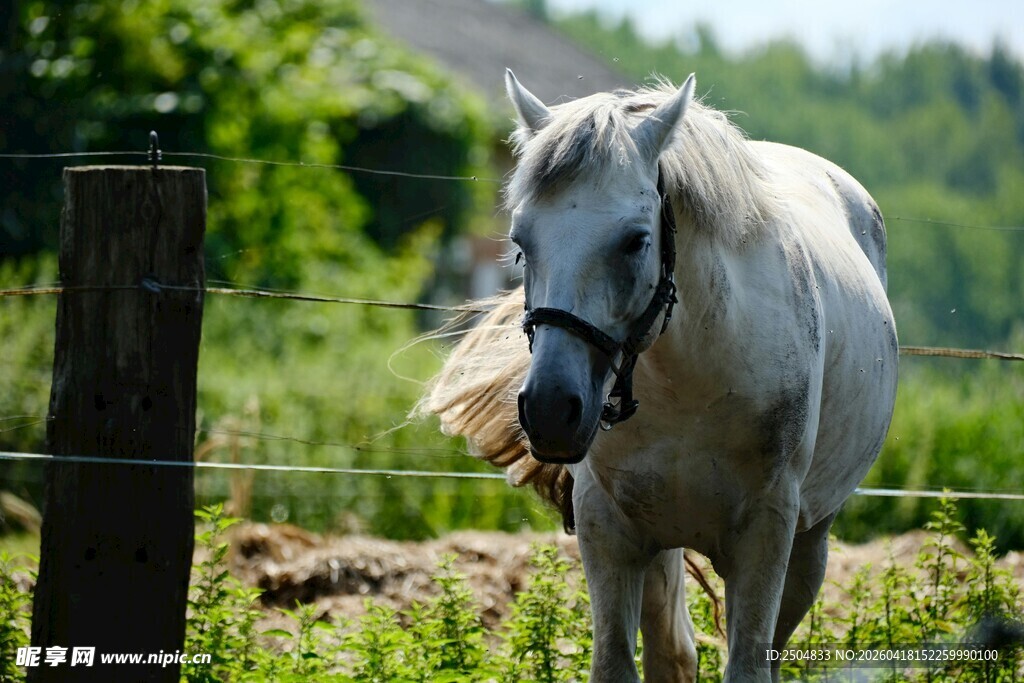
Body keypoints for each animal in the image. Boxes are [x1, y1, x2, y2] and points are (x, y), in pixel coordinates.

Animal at [420, 70, 898, 682]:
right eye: (521, 243)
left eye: (635, 241)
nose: (550, 410)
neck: (690, 383)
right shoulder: (610, 531)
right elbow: (618, 663)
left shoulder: (768, 533)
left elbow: (748, 664)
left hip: (810, 542)